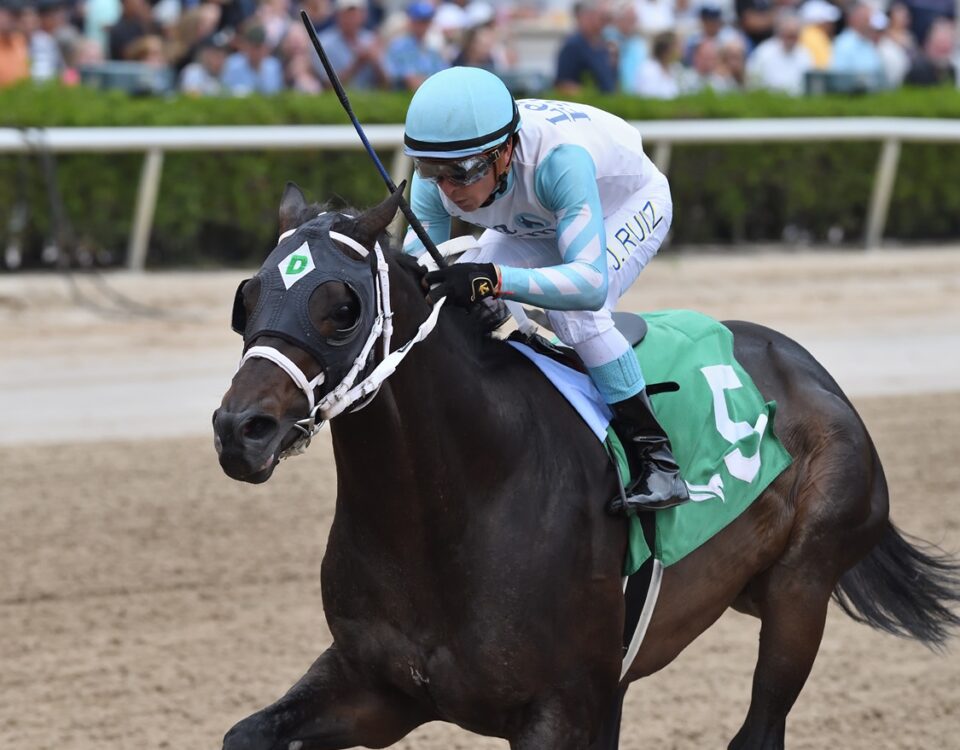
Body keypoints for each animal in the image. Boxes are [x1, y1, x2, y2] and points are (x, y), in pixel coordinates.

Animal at [212, 185, 960, 750]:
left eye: (341, 307)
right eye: (246, 297)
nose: (240, 430)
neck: (453, 507)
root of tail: (811, 370)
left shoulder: (562, 707)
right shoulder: (380, 687)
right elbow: (246, 733)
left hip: (800, 590)